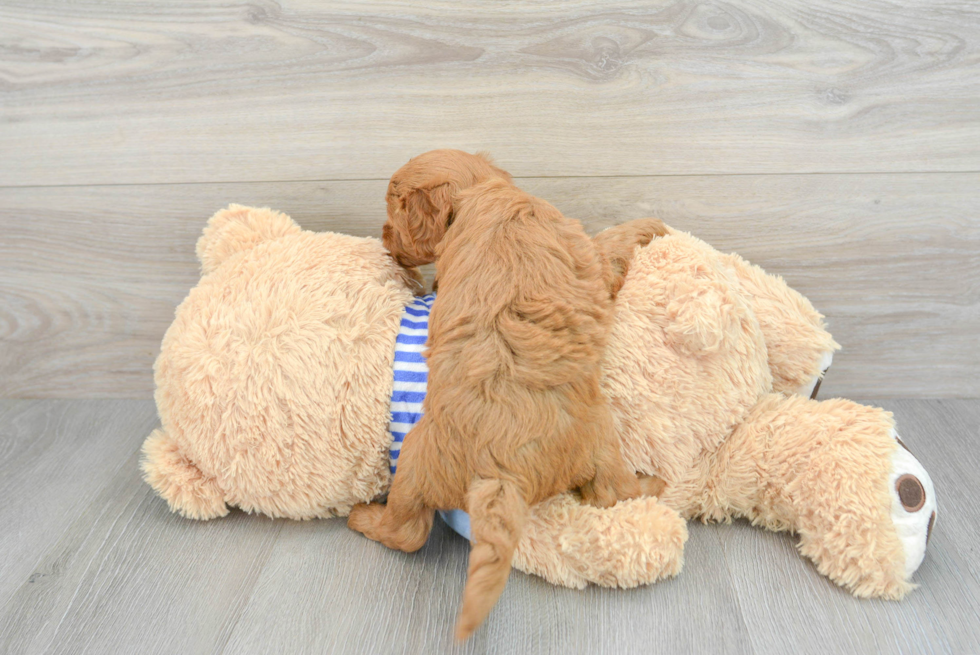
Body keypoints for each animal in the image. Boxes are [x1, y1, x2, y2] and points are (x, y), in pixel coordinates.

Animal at [348, 151, 664, 644]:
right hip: (600, 435)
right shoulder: (586, 252)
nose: (383, 240)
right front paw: (648, 227)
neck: (484, 191)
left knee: (410, 531)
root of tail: (499, 472)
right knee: (613, 493)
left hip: (418, 461)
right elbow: (609, 243)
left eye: (393, 213)